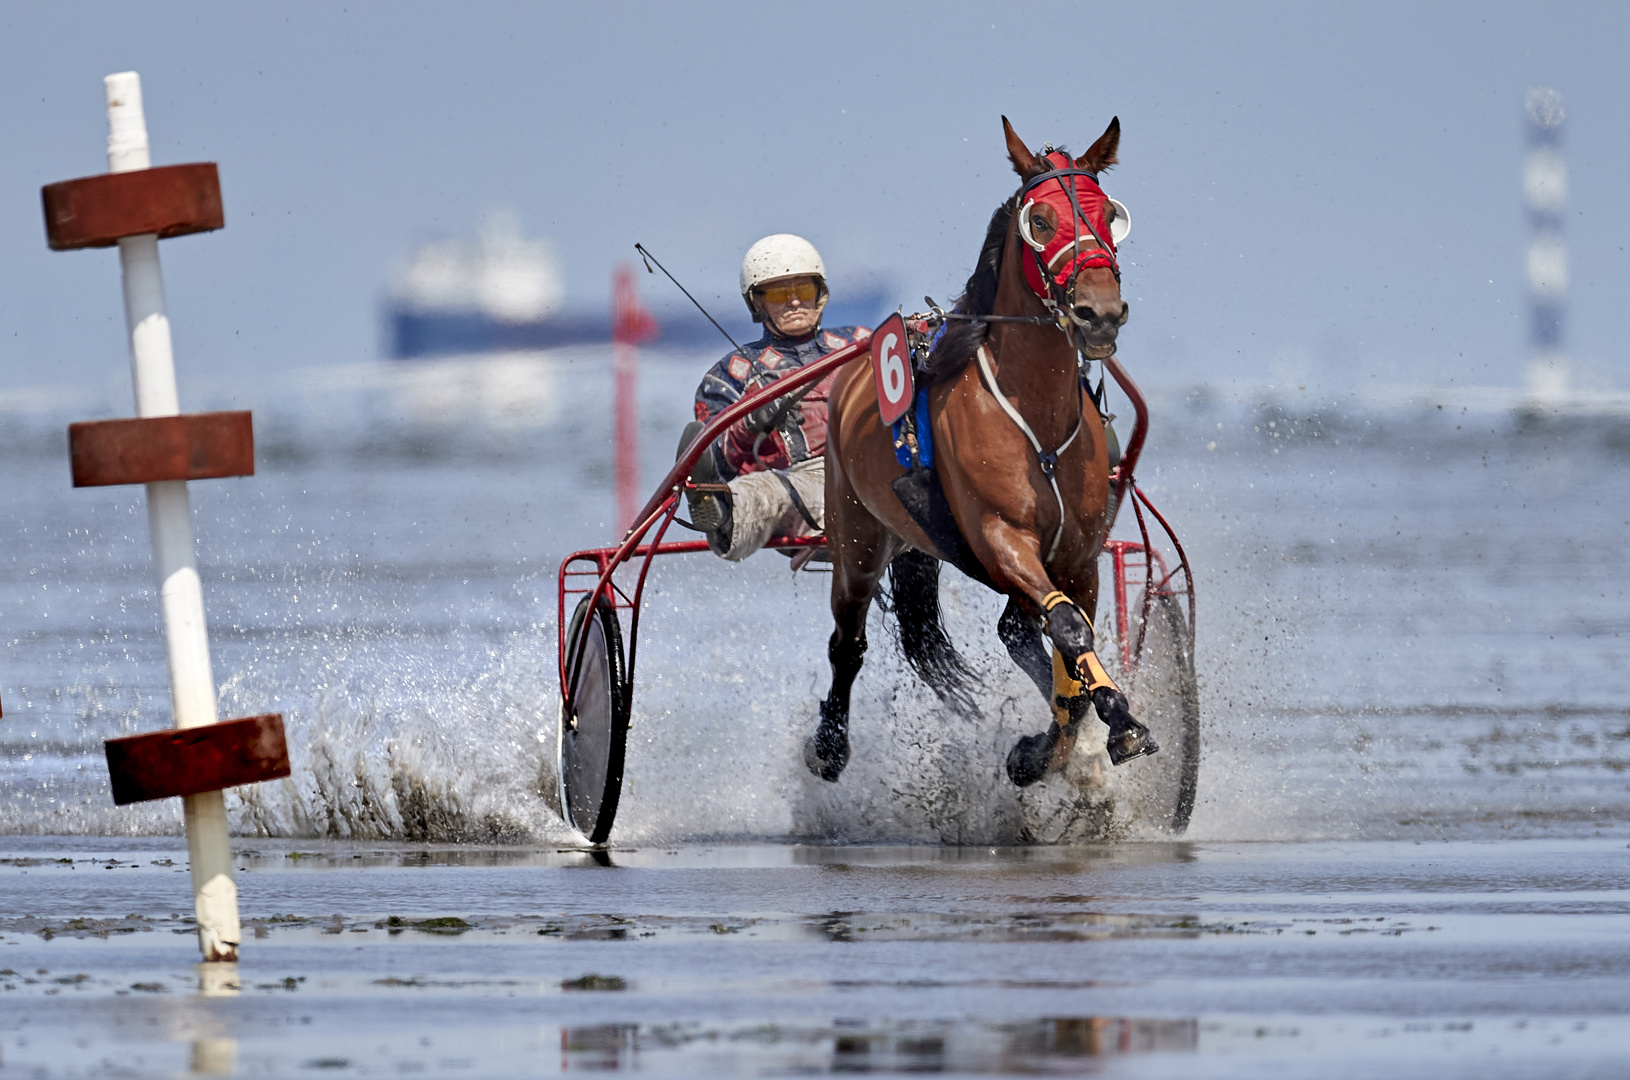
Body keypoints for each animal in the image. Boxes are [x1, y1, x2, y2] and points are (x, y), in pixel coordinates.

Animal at [808, 116, 1154, 785]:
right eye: (1039, 219)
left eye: (1110, 216)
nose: (1099, 312)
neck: (1035, 419)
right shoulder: (1000, 536)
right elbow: (1069, 629)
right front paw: (1062, 743)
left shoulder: (1079, 556)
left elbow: (1071, 648)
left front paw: (1088, 730)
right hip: (856, 535)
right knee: (848, 640)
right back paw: (829, 745)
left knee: (1019, 629)